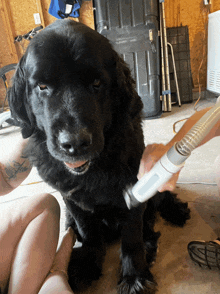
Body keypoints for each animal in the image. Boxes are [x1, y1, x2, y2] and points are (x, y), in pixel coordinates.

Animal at [8, 19, 190, 292]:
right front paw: (87, 264)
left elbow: (132, 236)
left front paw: (133, 276)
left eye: (96, 84)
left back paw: (173, 214)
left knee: (160, 202)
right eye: (42, 86)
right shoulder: (72, 199)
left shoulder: (134, 189)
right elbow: (88, 231)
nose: (74, 143)